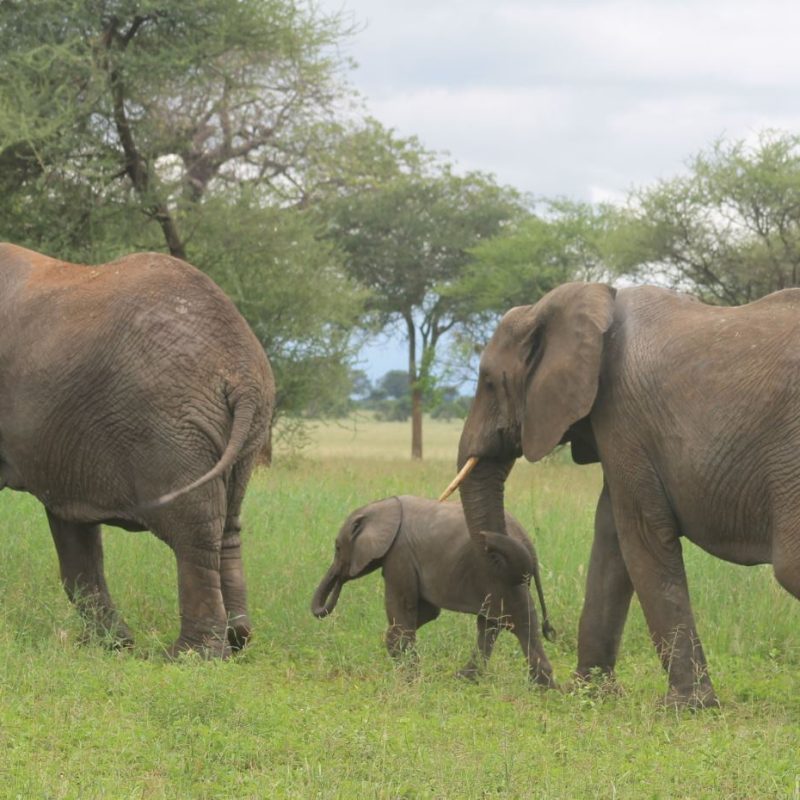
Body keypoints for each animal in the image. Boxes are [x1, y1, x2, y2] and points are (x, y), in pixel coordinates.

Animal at [0, 244, 276, 656]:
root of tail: (241, 370)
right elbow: (74, 529)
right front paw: (113, 646)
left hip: (171, 427)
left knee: (193, 531)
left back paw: (191, 656)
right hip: (245, 435)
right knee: (229, 523)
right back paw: (237, 639)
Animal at [310, 496, 556, 684]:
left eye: (337, 547)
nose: (341, 577)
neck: (383, 506)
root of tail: (528, 542)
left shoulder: (399, 555)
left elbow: (402, 606)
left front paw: (408, 678)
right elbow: (427, 612)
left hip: (503, 578)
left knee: (518, 621)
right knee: (495, 624)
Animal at [444, 282, 800, 708]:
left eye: (489, 382)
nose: (547, 681)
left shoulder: (624, 415)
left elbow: (640, 537)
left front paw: (685, 707)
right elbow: (610, 535)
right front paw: (590, 692)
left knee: (790, 568)